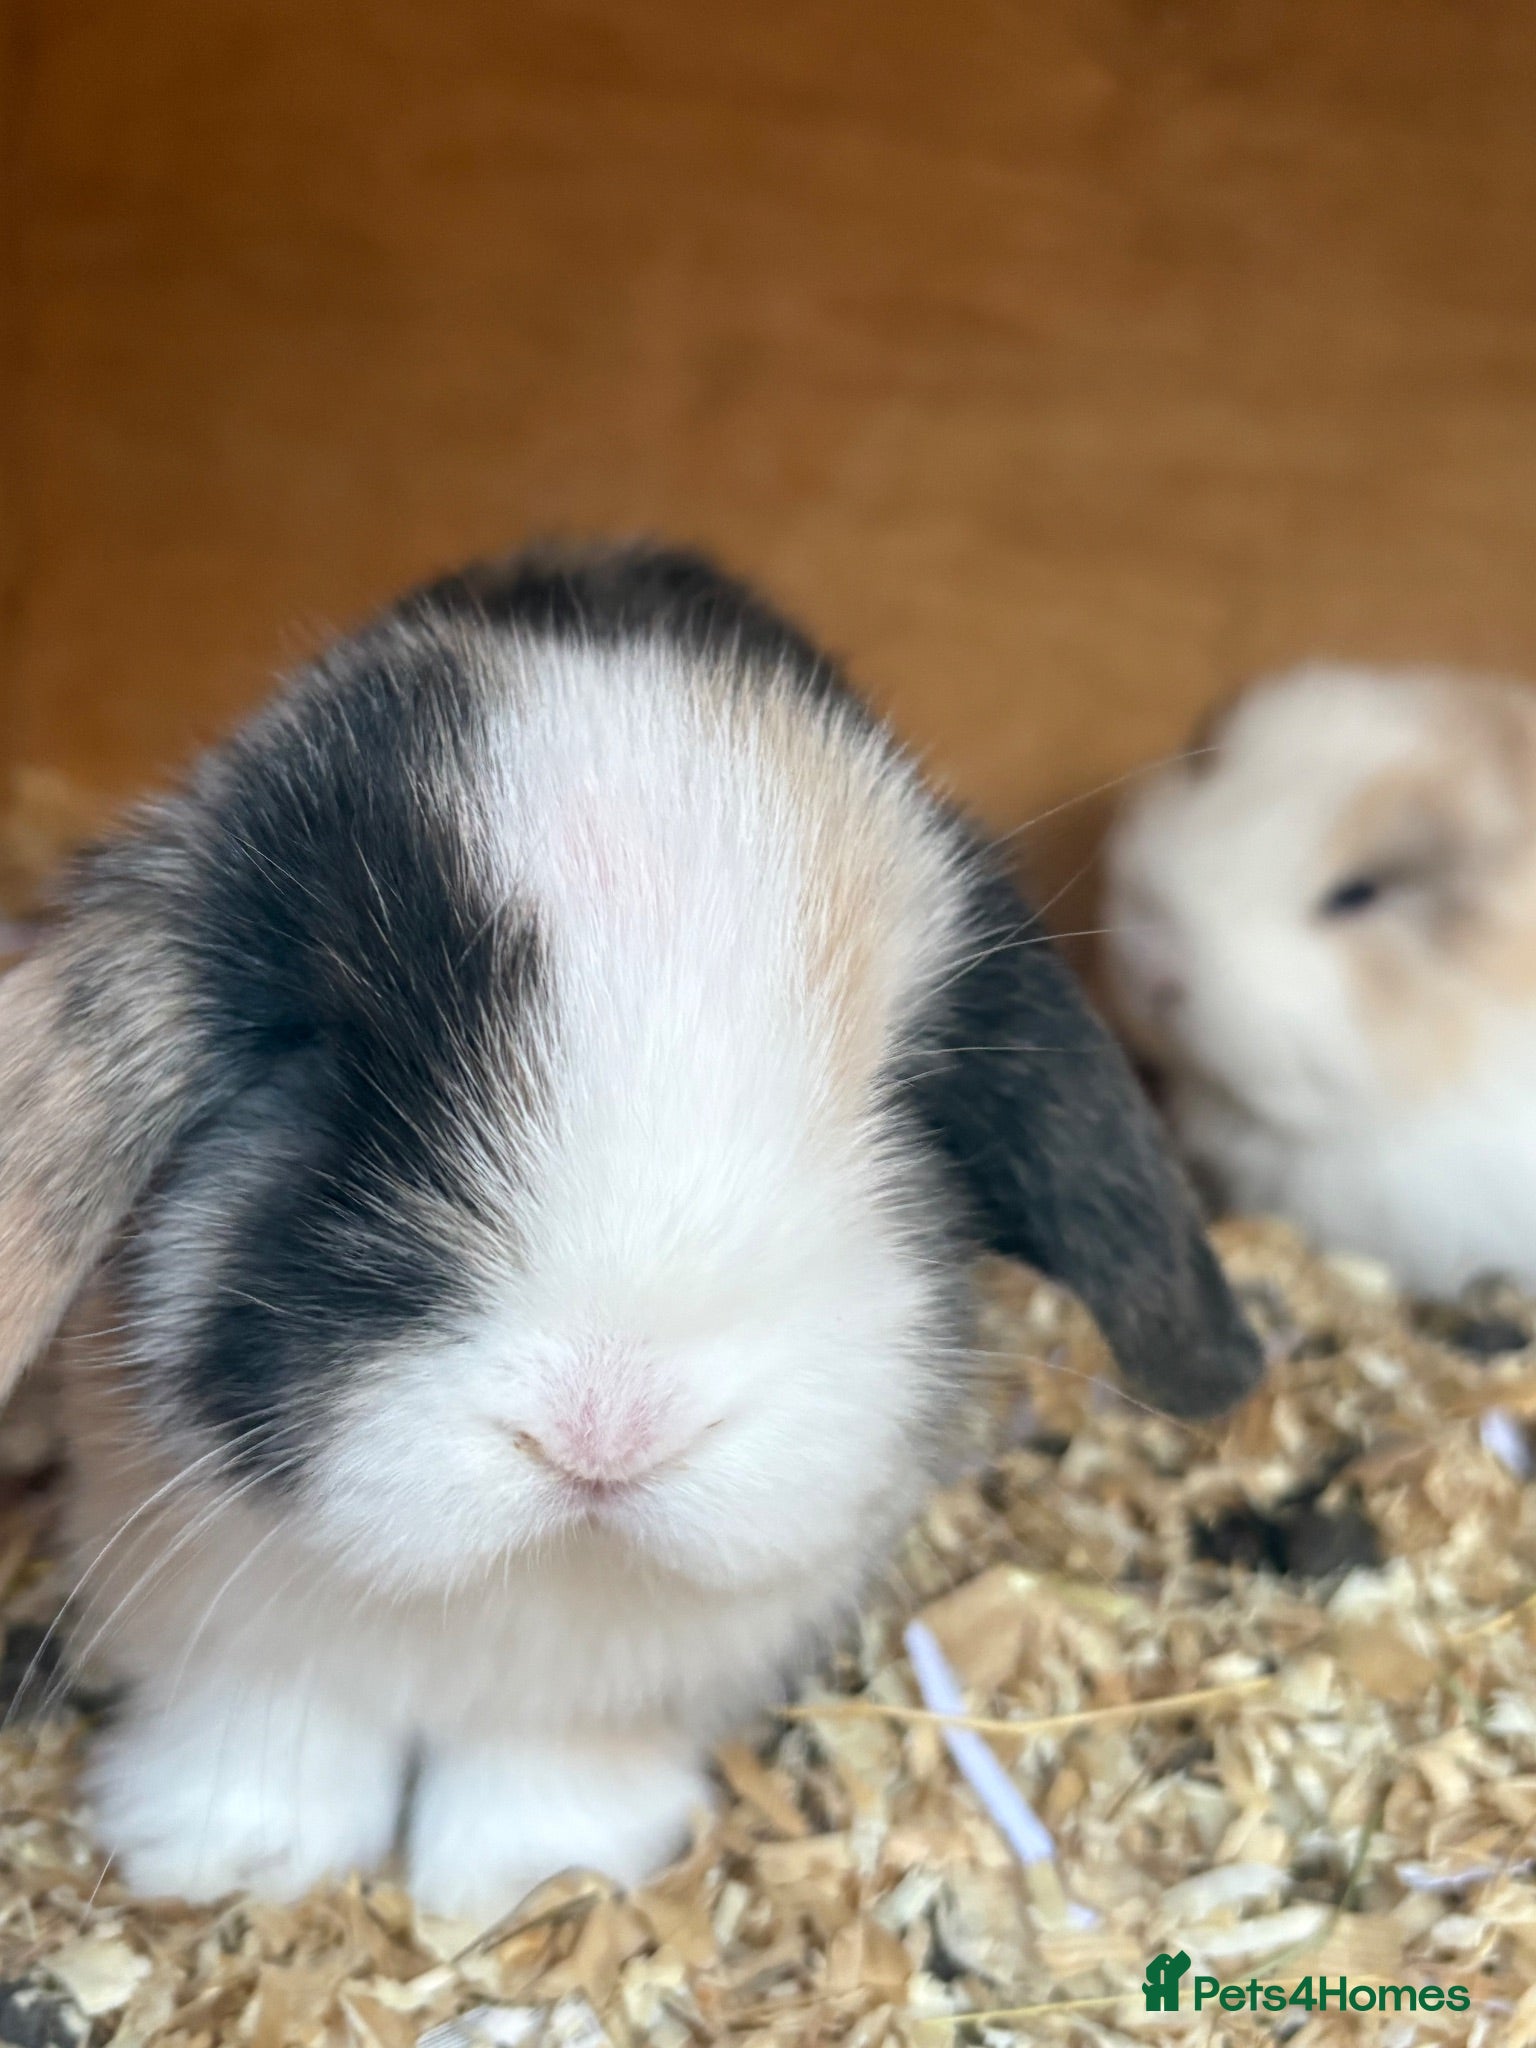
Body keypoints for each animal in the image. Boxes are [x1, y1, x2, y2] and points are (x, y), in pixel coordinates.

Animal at [0, 543, 1260, 1922]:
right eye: (324, 1056)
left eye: (904, 1092)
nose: (607, 1430)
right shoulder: (211, 1613)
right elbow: (262, 1718)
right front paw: (223, 1858)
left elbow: (546, 1762)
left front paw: (525, 1876)